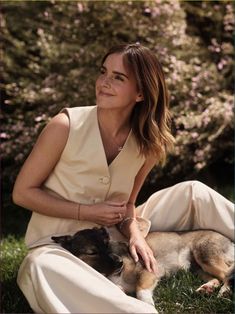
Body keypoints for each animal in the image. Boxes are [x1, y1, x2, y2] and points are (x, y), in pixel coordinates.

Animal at [52, 227, 234, 306]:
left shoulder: (148, 271)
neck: (113, 274)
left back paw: (224, 292)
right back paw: (207, 288)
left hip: (205, 255)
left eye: (108, 244)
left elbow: (141, 290)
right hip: (196, 269)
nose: (120, 262)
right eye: (92, 252)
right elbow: (120, 289)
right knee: (217, 278)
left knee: (227, 274)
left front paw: (148, 305)